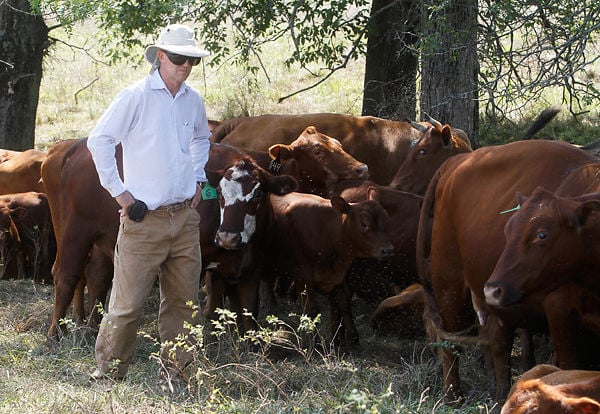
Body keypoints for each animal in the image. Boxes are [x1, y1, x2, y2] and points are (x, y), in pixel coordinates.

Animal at [414, 139, 596, 402]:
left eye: (541, 235)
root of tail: (455, 162)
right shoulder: (561, 315)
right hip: (448, 280)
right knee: (449, 341)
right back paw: (454, 396)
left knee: (497, 340)